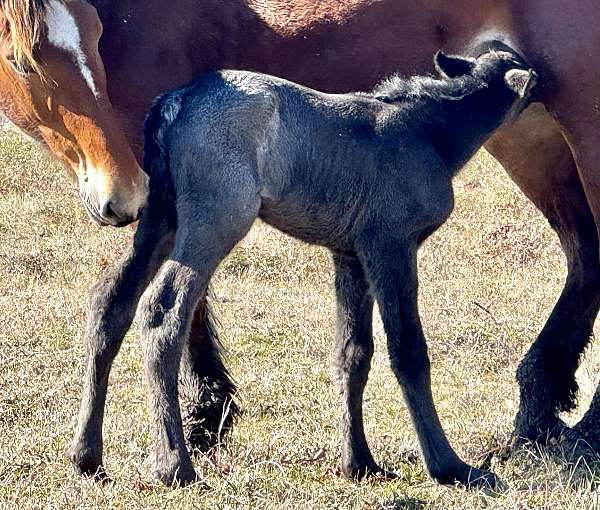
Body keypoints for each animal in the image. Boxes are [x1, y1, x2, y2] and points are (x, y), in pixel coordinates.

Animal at [1, 0, 600, 478]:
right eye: (22, 61)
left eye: (96, 38)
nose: (548, 81)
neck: (422, 131)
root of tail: (178, 100)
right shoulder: (390, 247)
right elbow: (408, 349)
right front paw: (449, 467)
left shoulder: (349, 255)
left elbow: (352, 352)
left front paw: (360, 463)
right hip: (211, 221)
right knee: (163, 312)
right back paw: (174, 464)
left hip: (159, 219)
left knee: (111, 302)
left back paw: (87, 455)